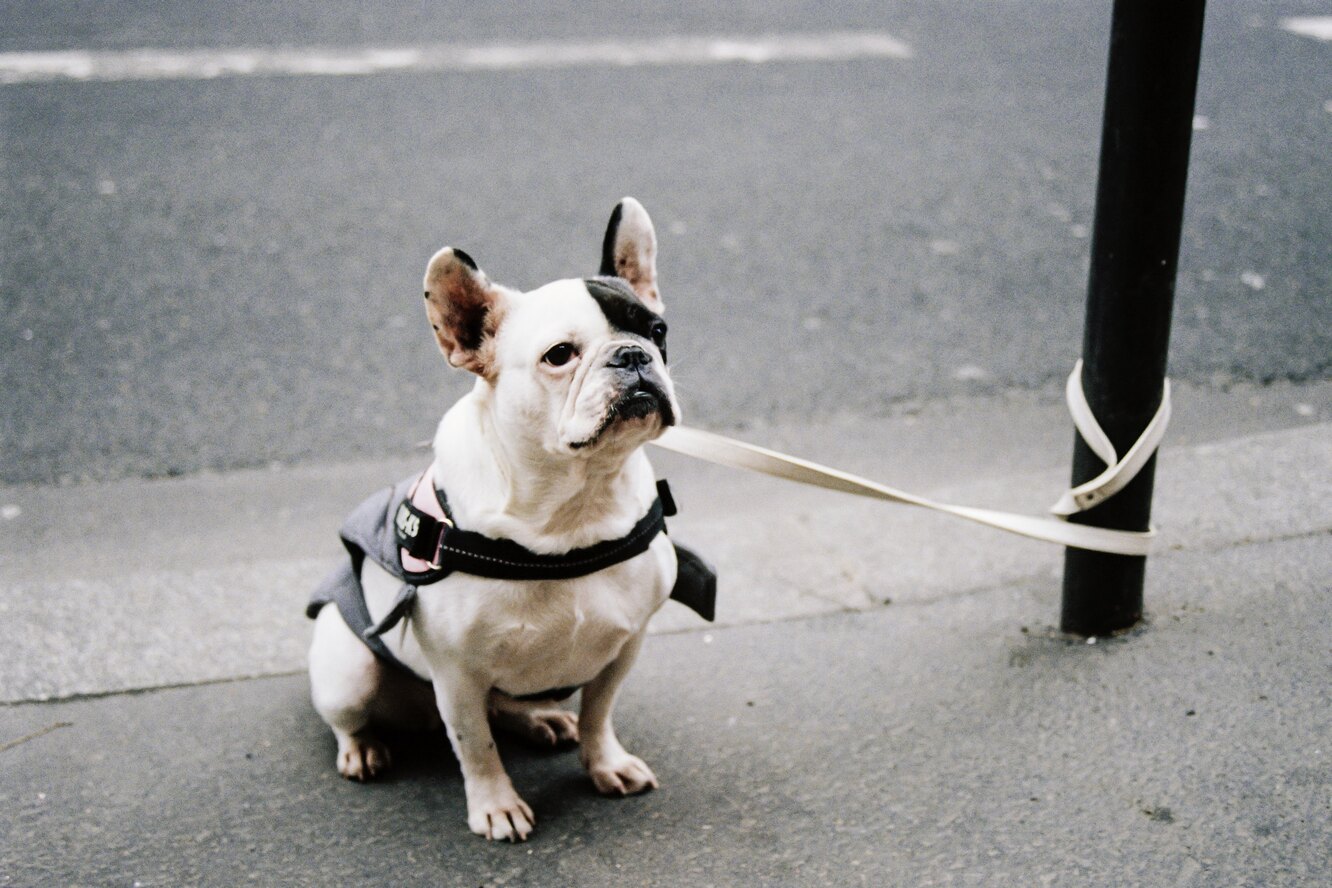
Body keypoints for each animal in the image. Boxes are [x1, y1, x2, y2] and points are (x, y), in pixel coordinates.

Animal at [307, 199, 713, 841]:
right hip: (349, 672)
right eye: (560, 355)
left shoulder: (624, 645)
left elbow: (599, 712)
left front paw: (605, 764)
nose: (632, 356)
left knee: (510, 705)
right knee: (354, 715)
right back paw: (362, 747)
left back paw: (542, 719)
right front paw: (495, 805)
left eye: (656, 332)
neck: (575, 502)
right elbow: (475, 746)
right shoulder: (457, 676)